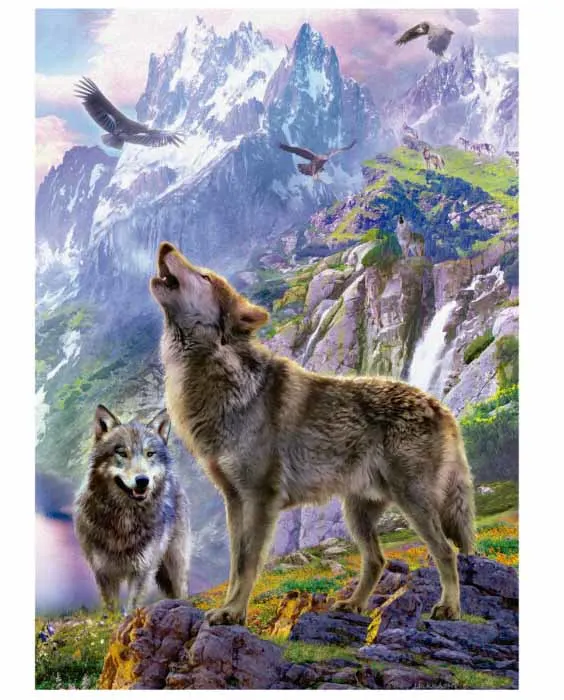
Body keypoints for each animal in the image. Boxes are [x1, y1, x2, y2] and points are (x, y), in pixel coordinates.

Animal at [74, 405, 190, 611]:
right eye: (122, 453)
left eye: (150, 454)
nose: (142, 480)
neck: (124, 520)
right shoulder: (104, 572)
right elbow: (112, 609)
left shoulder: (142, 570)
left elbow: (132, 607)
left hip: (174, 561)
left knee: (182, 589)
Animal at [150, 242, 475, 627]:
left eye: (204, 276)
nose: (166, 246)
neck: (218, 377)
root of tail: (442, 408)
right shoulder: (235, 500)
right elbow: (234, 565)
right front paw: (229, 609)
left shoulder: (261, 499)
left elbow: (248, 563)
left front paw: (234, 612)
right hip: (357, 513)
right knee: (377, 559)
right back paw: (354, 604)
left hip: (413, 504)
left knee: (446, 551)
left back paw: (449, 607)